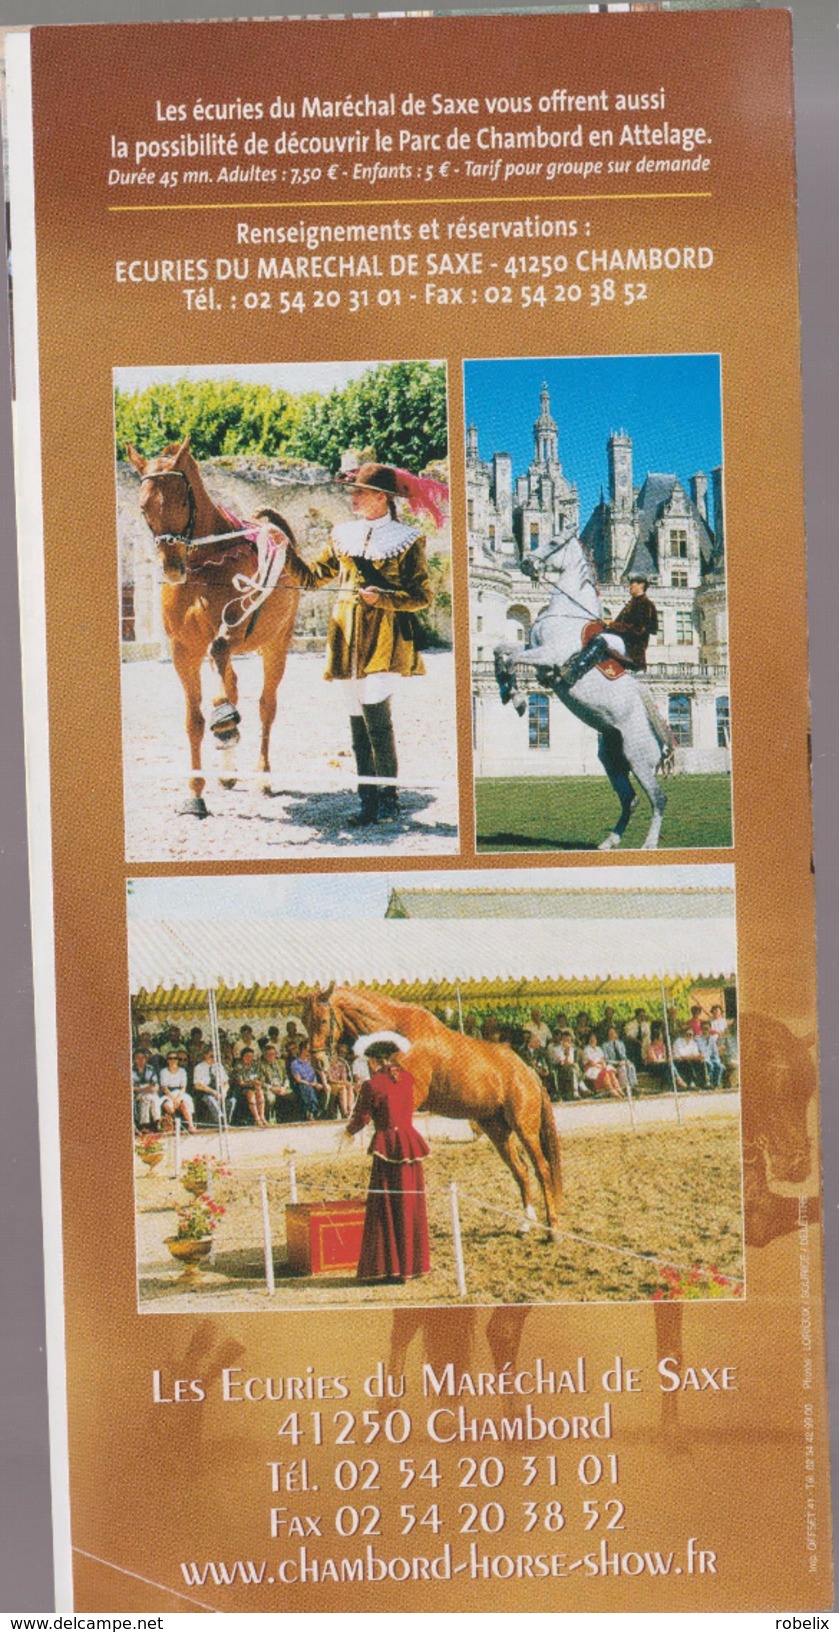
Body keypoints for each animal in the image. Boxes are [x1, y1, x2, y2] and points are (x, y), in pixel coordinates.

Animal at [125, 434, 298, 816]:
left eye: (182, 499)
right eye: (144, 508)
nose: (172, 567)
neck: (206, 562)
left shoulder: (232, 630)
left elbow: (221, 658)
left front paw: (225, 723)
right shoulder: (183, 649)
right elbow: (194, 721)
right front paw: (195, 793)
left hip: (276, 644)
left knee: (266, 705)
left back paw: (262, 775)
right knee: (231, 682)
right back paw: (228, 772)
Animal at [300, 979, 561, 1233]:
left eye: (323, 1020)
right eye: (304, 1021)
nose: (317, 1062)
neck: (398, 1033)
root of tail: (528, 1073)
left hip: (525, 1129)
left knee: (542, 1168)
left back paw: (553, 1228)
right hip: (498, 1130)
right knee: (521, 1171)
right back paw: (526, 1224)